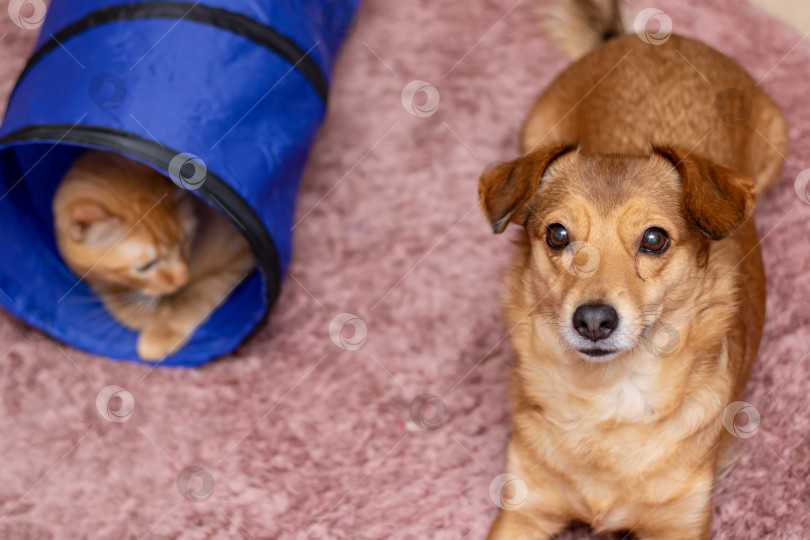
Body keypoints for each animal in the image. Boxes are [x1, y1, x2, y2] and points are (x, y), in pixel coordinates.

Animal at [52, 150, 254, 360]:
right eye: (146, 266)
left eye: (186, 240)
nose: (183, 279)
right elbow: (116, 297)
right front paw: (148, 313)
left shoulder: (240, 256)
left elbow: (196, 294)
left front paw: (163, 328)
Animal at [480, 1, 784, 540]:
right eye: (557, 235)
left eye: (654, 239)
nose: (593, 320)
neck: (608, 398)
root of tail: (642, 38)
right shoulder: (522, 509)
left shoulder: (680, 524)